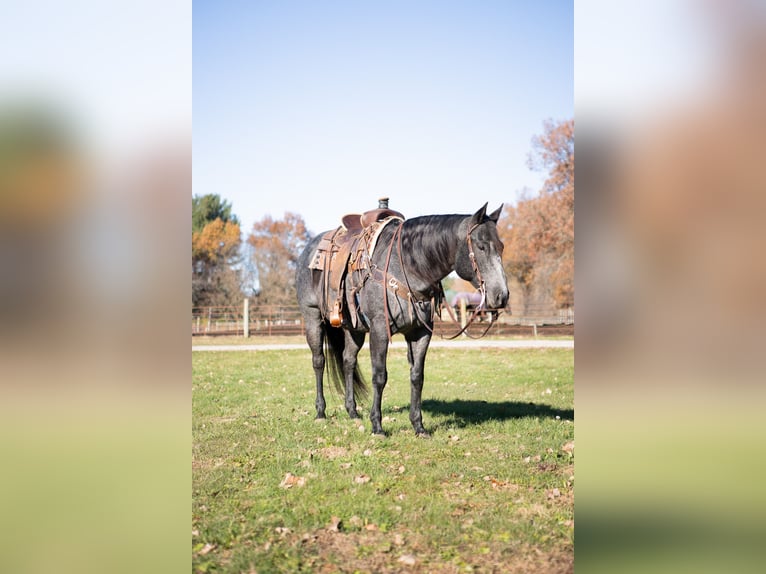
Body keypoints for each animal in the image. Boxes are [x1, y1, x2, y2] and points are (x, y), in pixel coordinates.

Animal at [295, 203, 509, 436]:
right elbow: (379, 376)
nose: (501, 295)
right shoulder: (380, 330)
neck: (407, 265)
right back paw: (320, 412)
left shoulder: (421, 333)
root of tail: (309, 249)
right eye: (481, 246)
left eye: (501, 246)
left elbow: (417, 376)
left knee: (348, 361)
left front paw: (418, 425)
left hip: (354, 328)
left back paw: (352, 411)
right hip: (313, 317)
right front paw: (377, 426)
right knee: (319, 361)